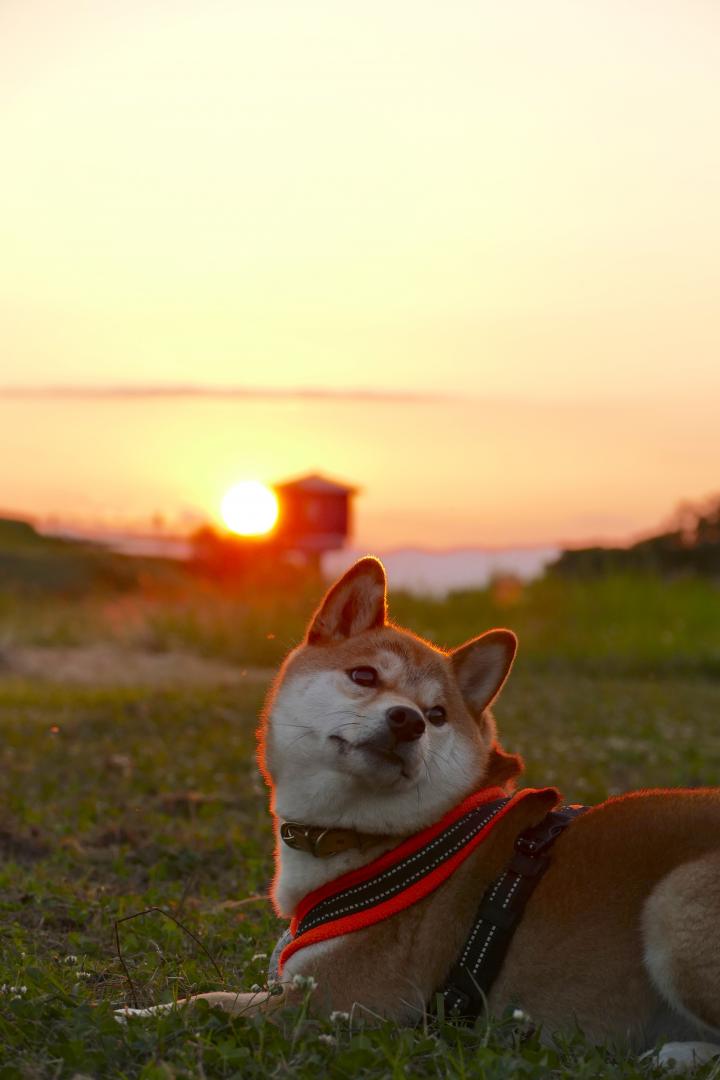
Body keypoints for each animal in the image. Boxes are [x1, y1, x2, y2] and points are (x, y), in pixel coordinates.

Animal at [124, 561, 720, 1067]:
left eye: (436, 715)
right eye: (364, 676)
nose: (408, 721)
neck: (375, 839)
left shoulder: (333, 1004)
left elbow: (205, 1001)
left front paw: (135, 1013)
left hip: (675, 901)